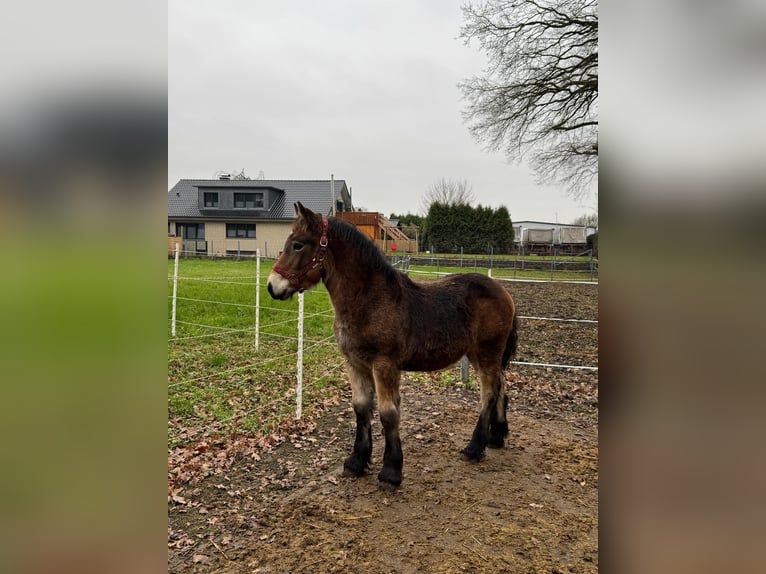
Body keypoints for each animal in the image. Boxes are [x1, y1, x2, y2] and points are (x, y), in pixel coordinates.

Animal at [268, 202, 520, 490]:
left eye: (298, 245)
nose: (272, 286)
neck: (370, 300)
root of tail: (504, 292)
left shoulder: (385, 365)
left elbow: (389, 413)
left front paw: (391, 471)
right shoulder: (355, 364)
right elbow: (361, 408)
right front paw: (356, 462)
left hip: (488, 351)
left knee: (488, 393)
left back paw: (474, 447)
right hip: (480, 354)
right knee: (501, 386)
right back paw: (496, 437)